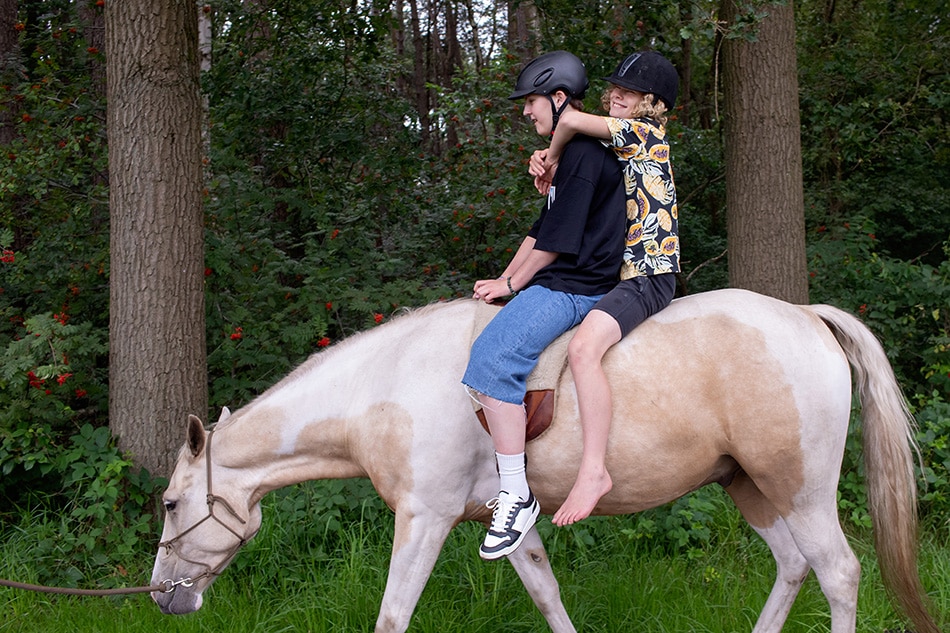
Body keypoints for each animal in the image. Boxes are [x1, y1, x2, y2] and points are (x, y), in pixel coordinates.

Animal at [149, 288, 941, 633]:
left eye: (170, 504)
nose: (161, 595)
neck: (387, 387)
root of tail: (805, 315)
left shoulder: (424, 519)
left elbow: (393, 615)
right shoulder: (508, 524)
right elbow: (548, 595)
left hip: (799, 490)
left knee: (838, 574)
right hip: (750, 487)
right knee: (793, 566)